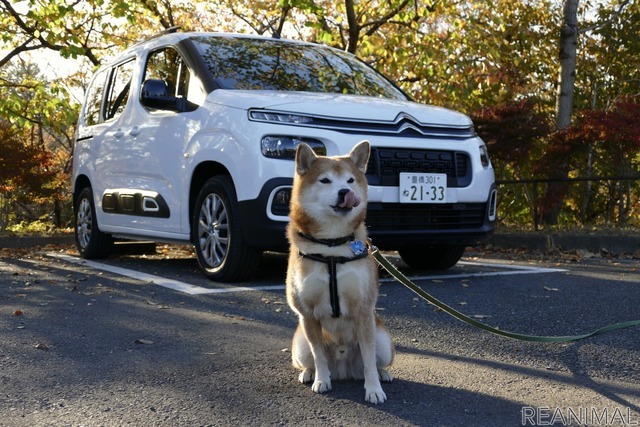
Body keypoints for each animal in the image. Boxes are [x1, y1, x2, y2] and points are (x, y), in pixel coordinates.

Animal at [286, 140, 396, 404]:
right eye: (325, 180)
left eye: (350, 180)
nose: (346, 193)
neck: (331, 247)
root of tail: (344, 368)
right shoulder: (307, 314)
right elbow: (318, 355)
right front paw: (321, 380)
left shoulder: (363, 309)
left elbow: (369, 360)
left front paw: (374, 389)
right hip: (299, 343)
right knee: (311, 359)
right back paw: (309, 373)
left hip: (383, 339)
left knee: (375, 361)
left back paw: (384, 374)